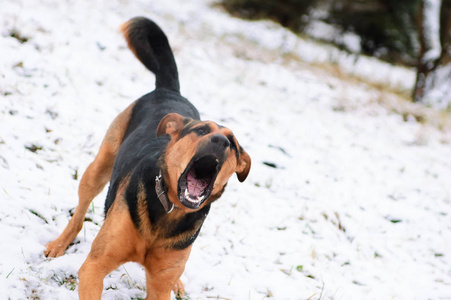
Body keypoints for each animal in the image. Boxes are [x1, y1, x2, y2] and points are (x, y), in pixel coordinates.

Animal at [44, 17, 252, 298]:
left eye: (234, 145)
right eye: (201, 131)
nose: (221, 141)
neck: (170, 208)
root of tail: (169, 91)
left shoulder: (160, 283)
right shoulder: (94, 267)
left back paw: (179, 284)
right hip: (99, 167)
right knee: (79, 212)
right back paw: (59, 244)